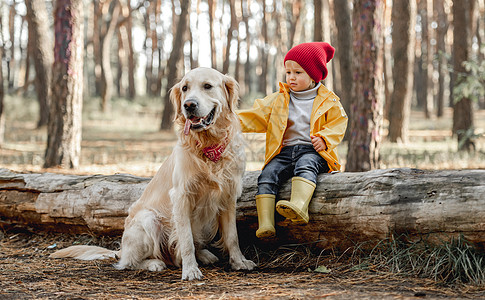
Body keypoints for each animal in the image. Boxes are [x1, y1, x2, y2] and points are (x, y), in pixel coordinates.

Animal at [50, 67, 258, 280]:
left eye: (207, 86)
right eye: (185, 88)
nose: (188, 105)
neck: (208, 147)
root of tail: (121, 249)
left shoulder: (228, 194)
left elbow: (232, 236)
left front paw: (239, 262)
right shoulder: (181, 196)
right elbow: (186, 240)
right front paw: (190, 270)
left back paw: (205, 255)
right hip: (148, 219)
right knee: (129, 262)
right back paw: (154, 263)